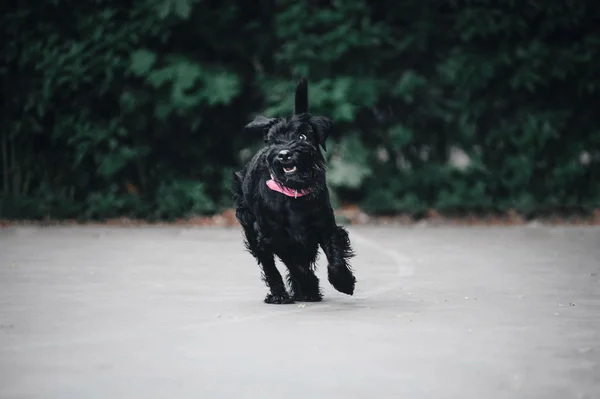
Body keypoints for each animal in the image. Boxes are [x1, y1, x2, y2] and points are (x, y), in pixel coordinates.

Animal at [231, 76, 356, 304]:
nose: (284, 154)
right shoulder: (275, 237)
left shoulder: (325, 227)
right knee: (271, 267)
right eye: (273, 140)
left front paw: (343, 282)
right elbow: (295, 266)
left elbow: (334, 254)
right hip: (254, 232)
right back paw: (281, 294)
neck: (294, 195)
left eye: (302, 137)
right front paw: (308, 286)